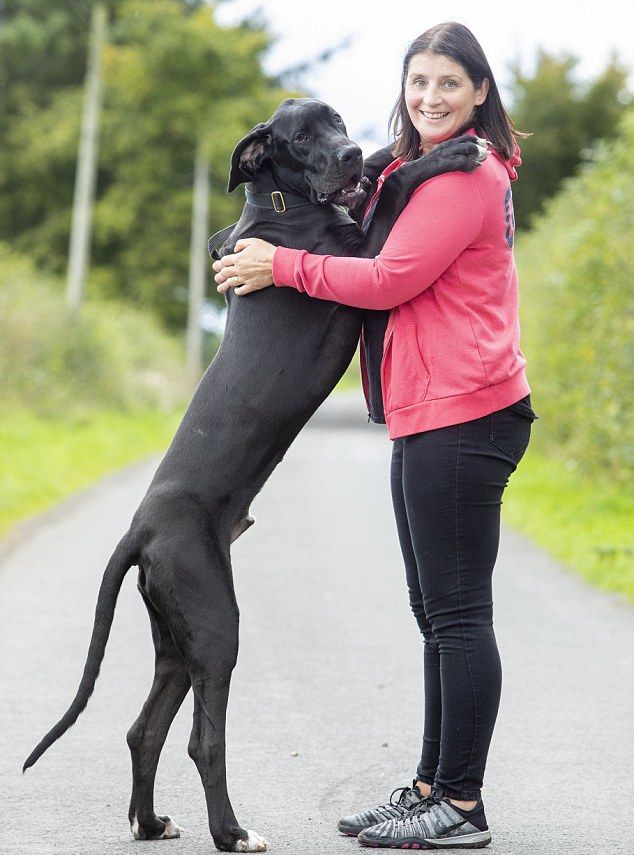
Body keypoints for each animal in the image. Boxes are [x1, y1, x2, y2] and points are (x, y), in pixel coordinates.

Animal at [21, 98, 484, 848]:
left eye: (336, 121)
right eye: (299, 138)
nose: (345, 154)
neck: (284, 202)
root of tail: (138, 530)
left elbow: (385, 171)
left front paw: (385, 154)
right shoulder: (365, 259)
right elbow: (397, 189)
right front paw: (447, 155)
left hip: (177, 638)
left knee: (144, 729)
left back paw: (151, 822)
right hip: (217, 627)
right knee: (201, 740)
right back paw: (233, 831)